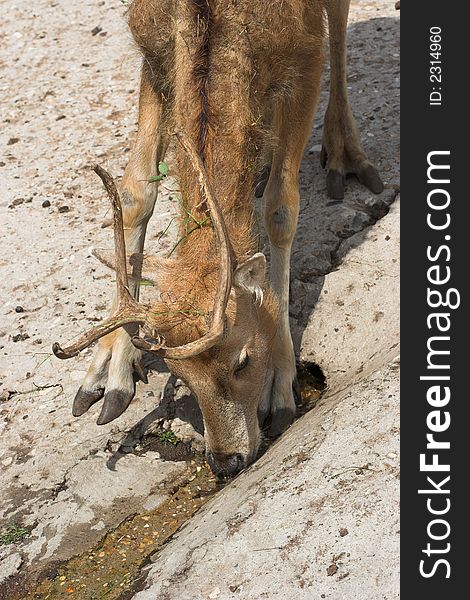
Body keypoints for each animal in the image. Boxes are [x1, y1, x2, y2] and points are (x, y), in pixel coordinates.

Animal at [52, 0, 382, 478]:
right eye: (183, 376)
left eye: (243, 359)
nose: (227, 461)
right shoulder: (154, 53)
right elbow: (135, 193)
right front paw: (109, 372)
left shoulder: (304, 55)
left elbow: (282, 208)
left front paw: (281, 385)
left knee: (339, 26)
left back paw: (344, 154)